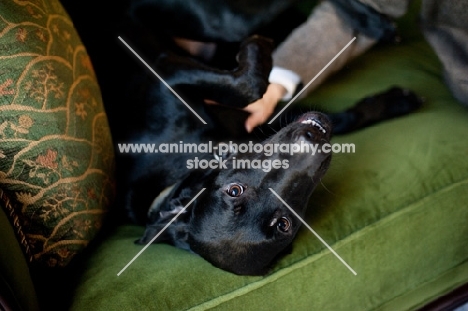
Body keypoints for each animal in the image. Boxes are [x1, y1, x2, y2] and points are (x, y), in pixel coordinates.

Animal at [60, 0, 422, 276]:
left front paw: (397, 102)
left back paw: (376, 23)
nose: (312, 143)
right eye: (284, 225)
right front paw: (257, 51)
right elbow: (250, 84)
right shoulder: (169, 71)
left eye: (235, 190)